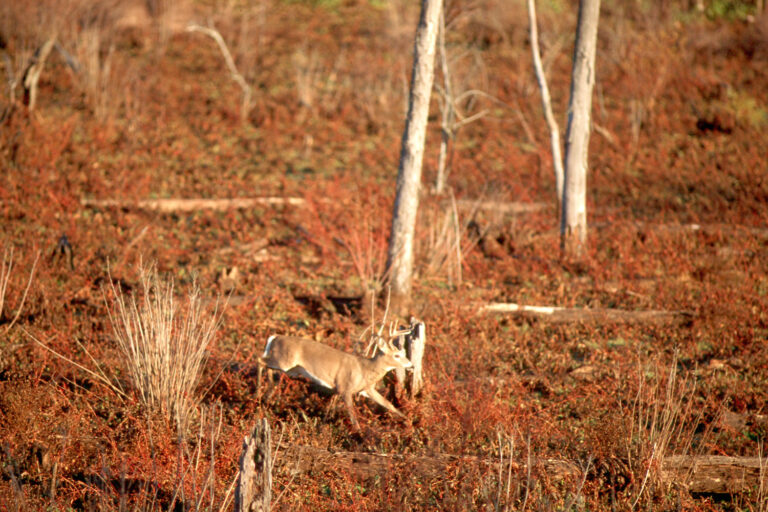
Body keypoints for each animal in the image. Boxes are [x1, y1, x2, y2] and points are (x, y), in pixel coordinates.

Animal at [258, 328, 413, 430]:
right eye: (397, 355)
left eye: (403, 353)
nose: (411, 364)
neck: (365, 369)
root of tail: (275, 337)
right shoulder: (345, 387)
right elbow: (352, 414)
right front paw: (359, 434)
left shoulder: (366, 389)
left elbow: (389, 404)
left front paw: (408, 420)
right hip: (284, 360)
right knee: (259, 360)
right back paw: (259, 395)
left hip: (287, 367)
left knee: (267, 365)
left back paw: (268, 394)